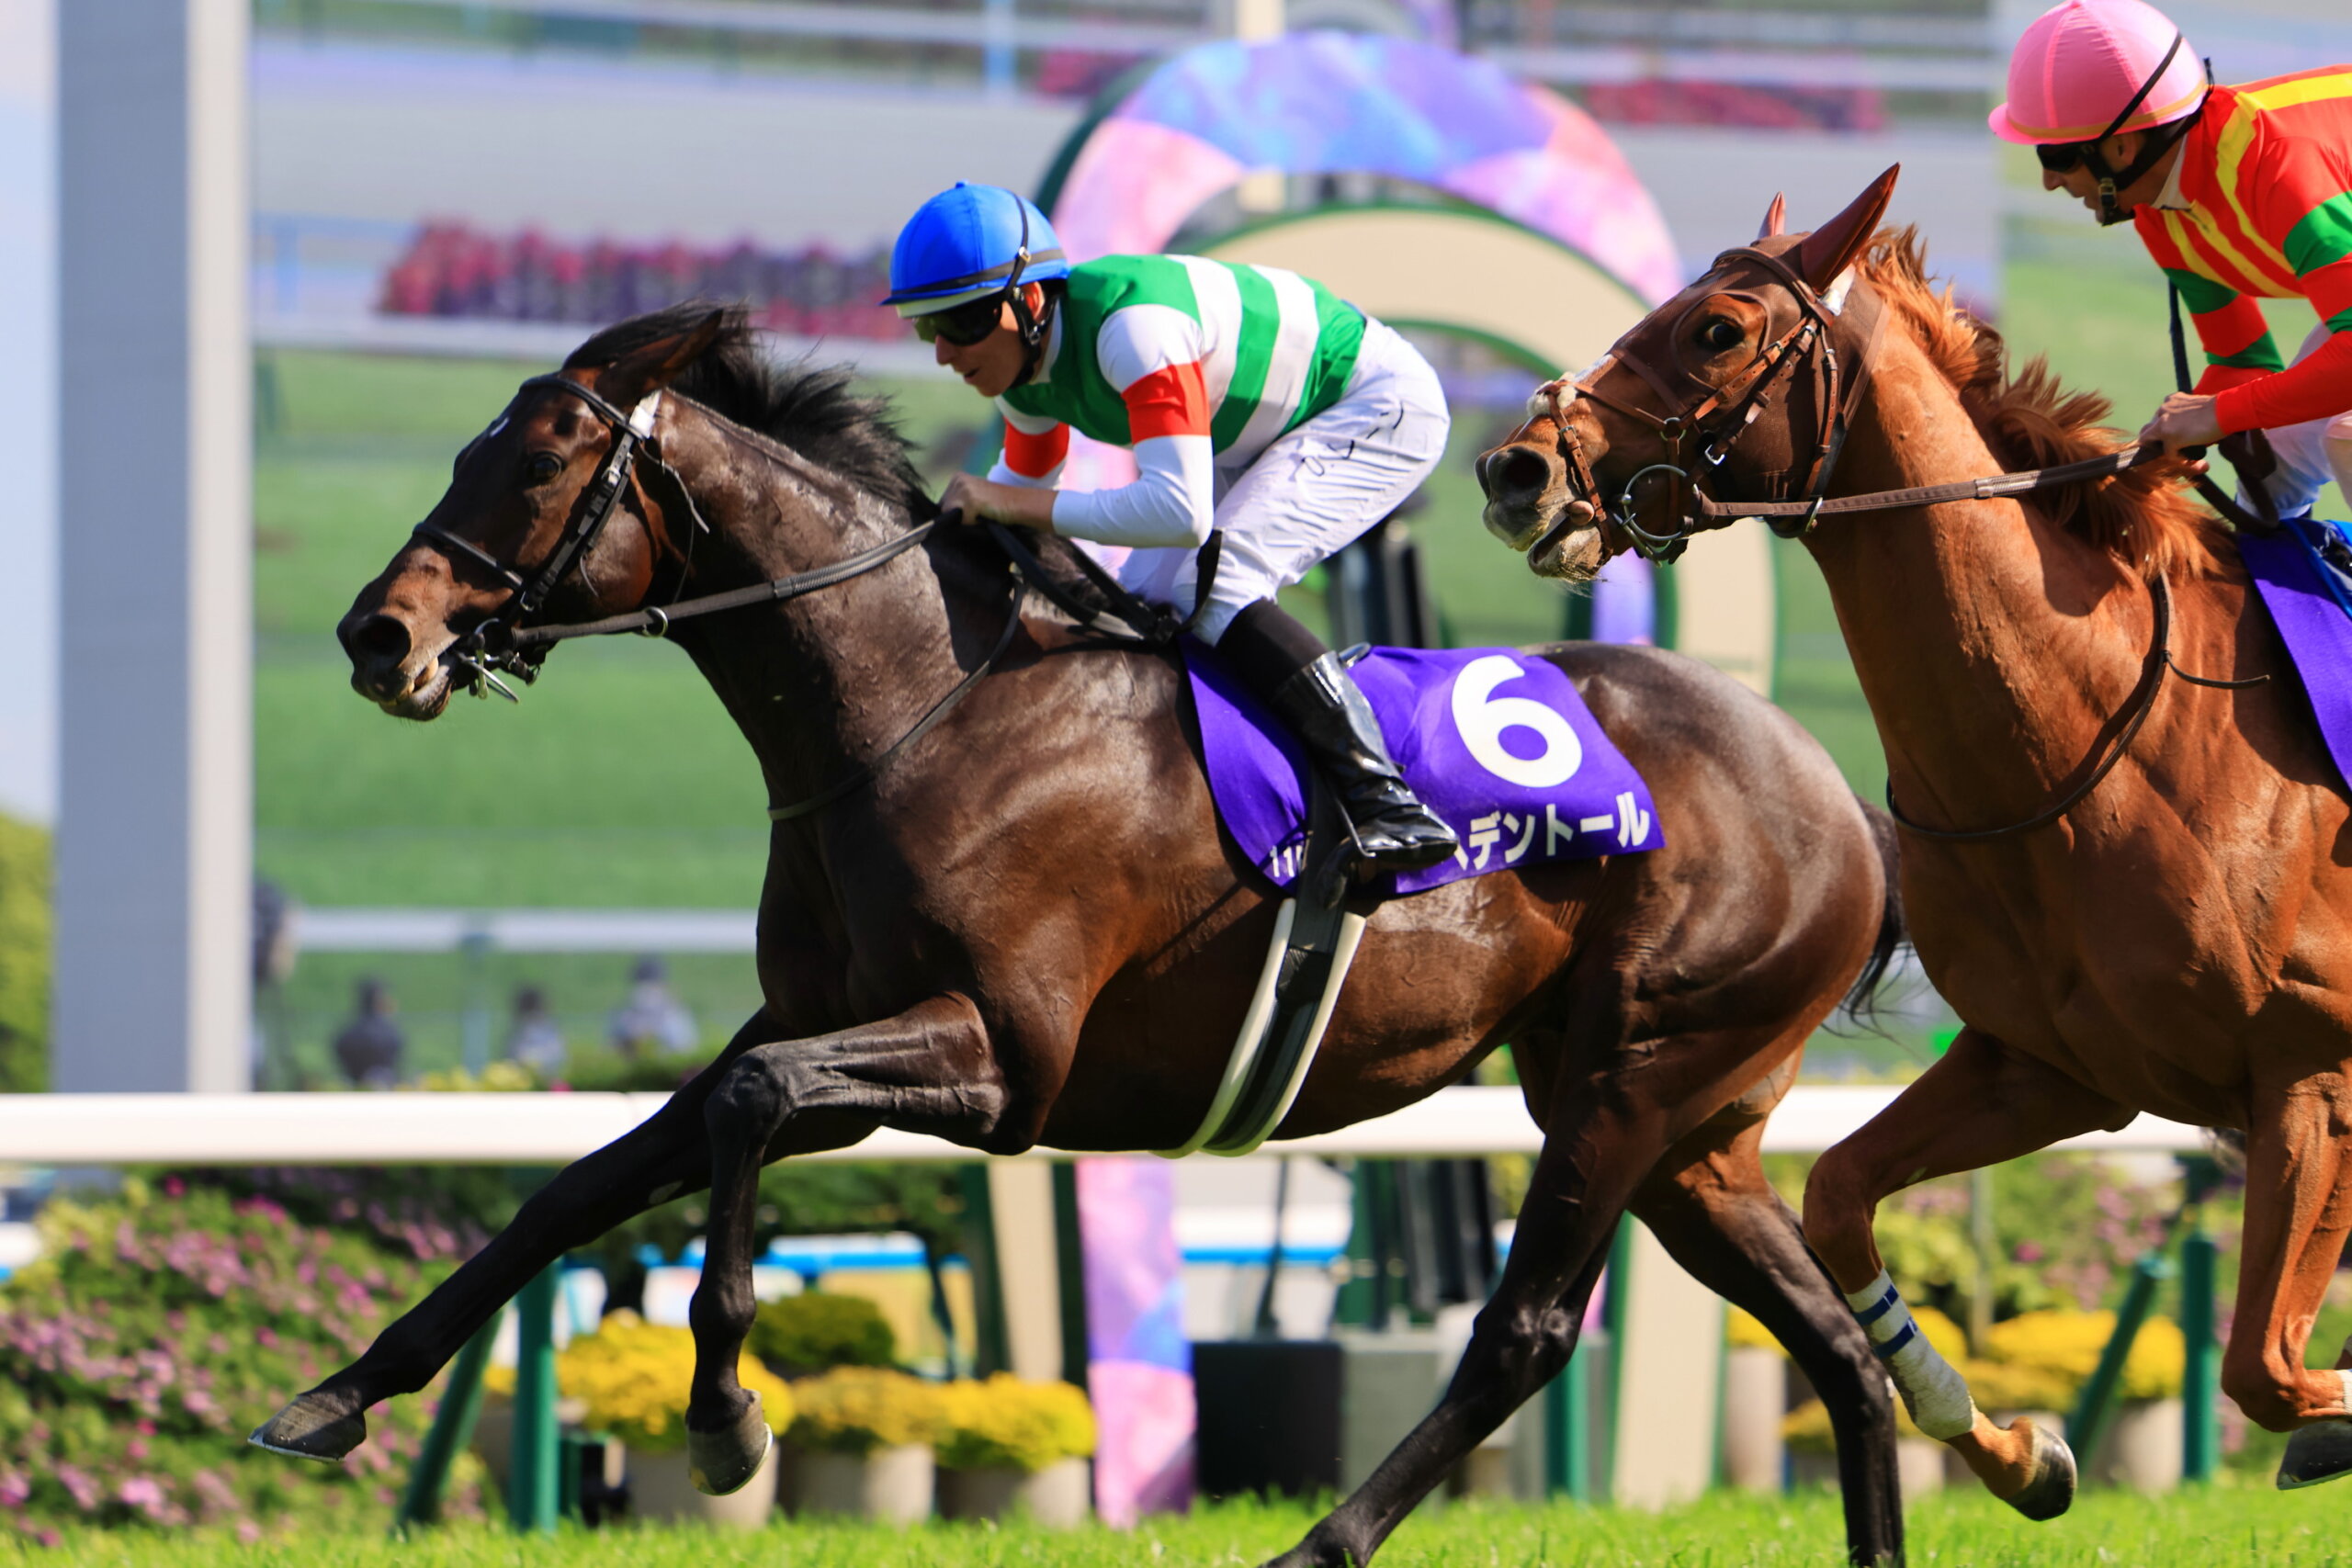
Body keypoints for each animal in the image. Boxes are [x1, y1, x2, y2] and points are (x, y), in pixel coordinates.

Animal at [253, 302, 1912, 1566]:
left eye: (540, 460)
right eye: (471, 447)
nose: (376, 634)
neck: (925, 706)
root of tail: (1836, 790)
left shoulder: (1004, 1061)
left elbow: (745, 1109)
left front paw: (726, 1419)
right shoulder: (819, 1019)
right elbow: (591, 1178)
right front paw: (337, 1393)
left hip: (1636, 1069)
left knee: (1529, 1328)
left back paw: (1317, 1543)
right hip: (1682, 1119)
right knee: (1838, 1347)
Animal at [1476, 168, 2352, 1519]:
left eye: (1715, 327)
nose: (1515, 469)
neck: (2096, 738)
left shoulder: (2314, 1074)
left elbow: (2264, 1366)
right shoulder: (2048, 1067)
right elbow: (1836, 1195)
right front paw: (2018, 1451)